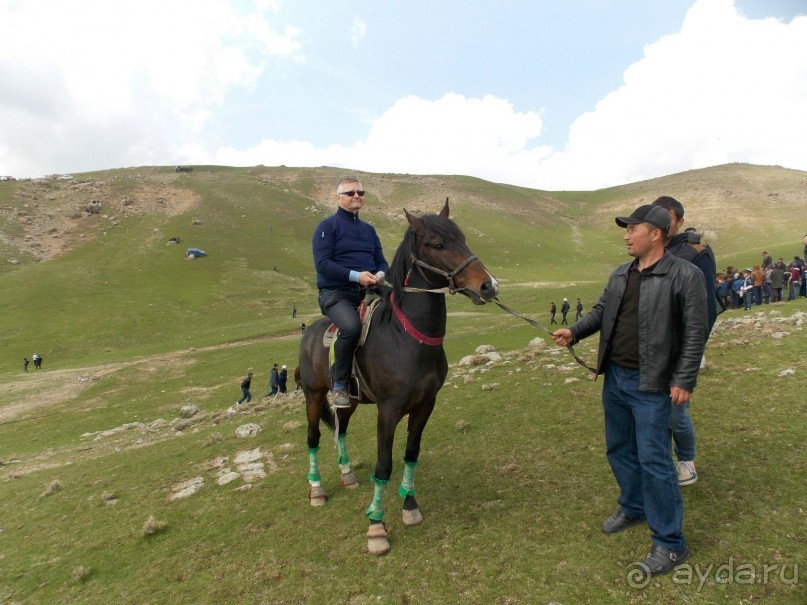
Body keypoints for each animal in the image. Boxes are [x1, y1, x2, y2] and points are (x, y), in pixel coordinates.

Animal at [298, 198, 498, 552]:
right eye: (437, 244)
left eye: (463, 238)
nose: (488, 285)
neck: (407, 339)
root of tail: (309, 332)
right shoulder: (388, 411)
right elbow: (384, 465)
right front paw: (376, 527)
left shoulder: (425, 406)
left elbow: (410, 454)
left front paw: (410, 506)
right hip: (313, 395)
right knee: (313, 438)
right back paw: (318, 491)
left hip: (349, 400)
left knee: (342, 430)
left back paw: (347, 475)